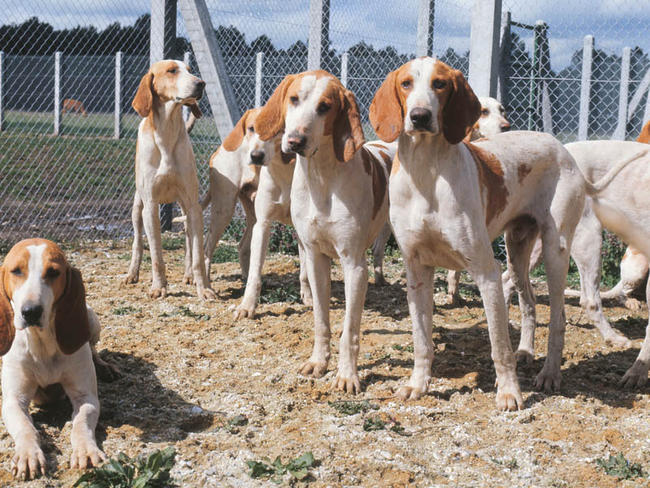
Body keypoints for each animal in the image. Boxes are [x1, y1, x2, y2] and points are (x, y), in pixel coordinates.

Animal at [0, 238, 109, 478]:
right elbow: (26, 427)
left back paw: (105, 366)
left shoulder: (86, 397)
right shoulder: (14, 400)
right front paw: (28, 454)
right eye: (16, 271)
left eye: (53, 272)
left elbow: (81, 423)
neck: (42, 345)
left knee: (92, 345)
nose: (30, 311)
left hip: (91, 319)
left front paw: (86, 450)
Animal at [121, 59, 213, 300]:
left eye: (190, 70)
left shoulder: (193, 206)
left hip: (186, 209)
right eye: (172, 70)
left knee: (189, 242)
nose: (201, 83)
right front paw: (159, 286)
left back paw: (189, 275)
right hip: (137, 208)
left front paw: (204, 288)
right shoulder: (150, 206)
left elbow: (198, 256)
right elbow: (156, 255)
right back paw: (132, 273)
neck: (167, 134)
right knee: (137, 243)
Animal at [251, 70, 388, 394]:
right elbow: (321, 320)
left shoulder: (354, 265)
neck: (322, 178)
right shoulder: (315, 258)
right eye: (293, 98)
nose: (294, 140)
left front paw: (348, 375)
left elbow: (349, 330)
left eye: (325, 107)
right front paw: (318, 362)